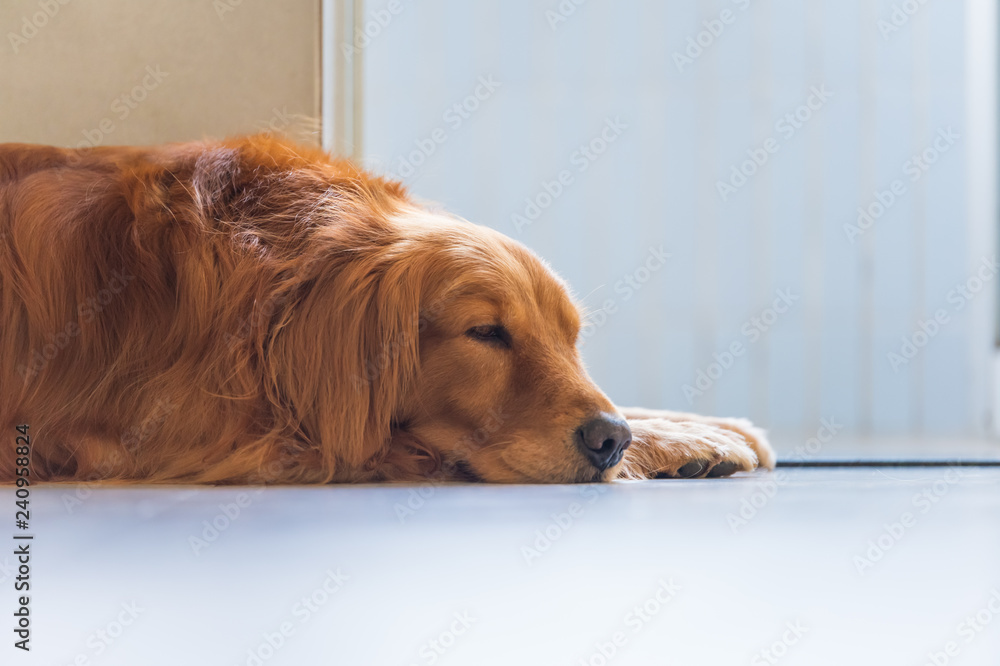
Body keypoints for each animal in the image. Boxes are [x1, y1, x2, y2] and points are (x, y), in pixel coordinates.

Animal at [0, 134, 776, 482]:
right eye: (485, 332)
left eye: (571, 339)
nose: (607, 439)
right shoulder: (204, 440)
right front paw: (668, 444)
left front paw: (705, 429)